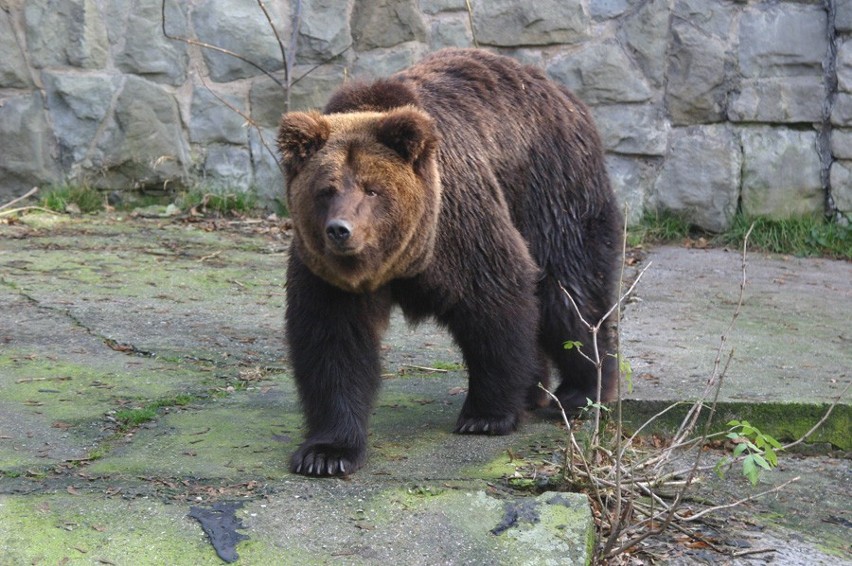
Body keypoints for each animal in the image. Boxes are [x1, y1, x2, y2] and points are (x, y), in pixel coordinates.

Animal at [278, 48, 620, 478]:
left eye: (372, 190)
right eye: (326, 189)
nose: (340, 230)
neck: (398, 259)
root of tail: (560, 91)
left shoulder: (457, 227)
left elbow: (495, 298)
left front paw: (485, 415)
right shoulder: (327, 275)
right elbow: (333, 340)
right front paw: (326, 453)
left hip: (552, 190)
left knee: (570, 290)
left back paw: (583, 391)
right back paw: (535, 390)